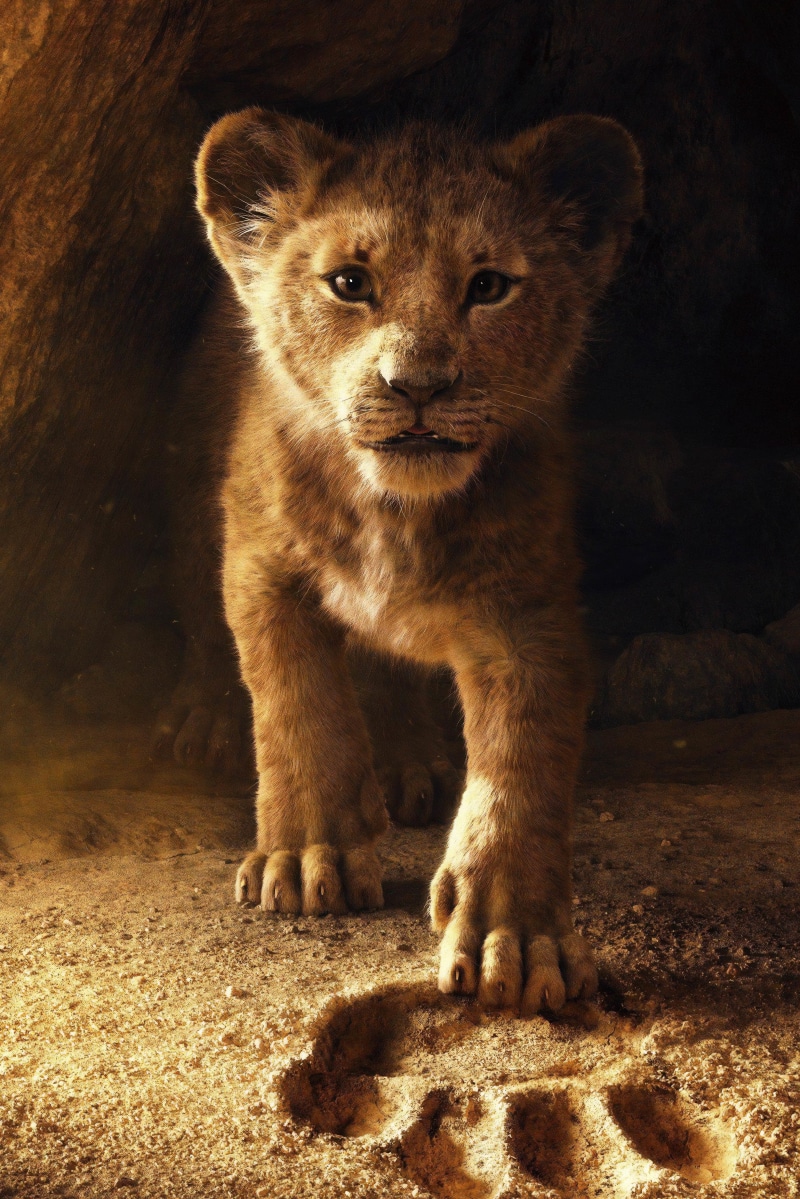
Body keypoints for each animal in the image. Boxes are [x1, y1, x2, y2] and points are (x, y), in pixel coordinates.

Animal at [162, 109, 642, 1013]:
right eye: (349, 282)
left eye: (489, 286)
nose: (417, 384)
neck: (396, 510)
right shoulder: (262, 567)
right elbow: (297, 707)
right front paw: (307, 856)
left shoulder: (528, 614)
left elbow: (521, 766)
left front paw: (514, 936)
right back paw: (204, 723)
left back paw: (407, 760)